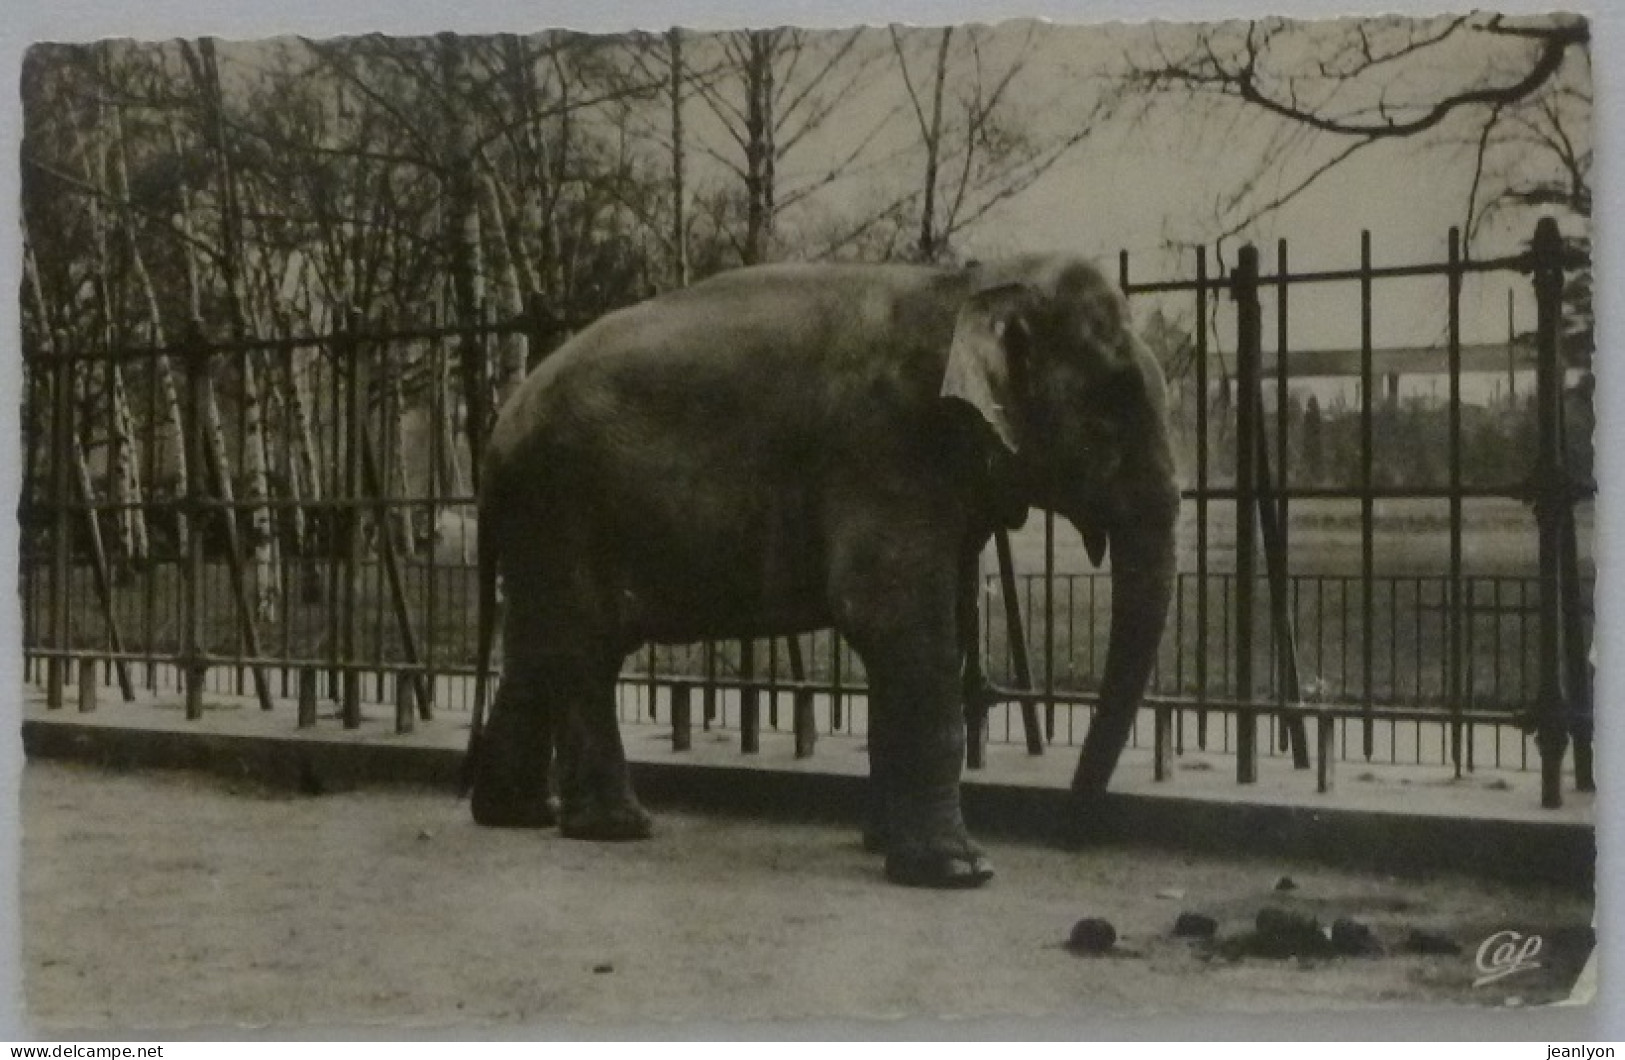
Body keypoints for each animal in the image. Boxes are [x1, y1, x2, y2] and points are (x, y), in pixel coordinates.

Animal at [464, 251, 1176, 890]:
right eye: (1116, 400)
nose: (1069, 839)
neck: (970, 284)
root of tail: (497, 435)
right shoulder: (887, 447)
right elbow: (895, 620)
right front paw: (960, 872)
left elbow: (914, 634)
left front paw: (884, 844)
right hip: (563, 502)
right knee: (583, 648)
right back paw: (618, 828)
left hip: (545, 523)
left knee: (540, 644)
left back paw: (519, 814)